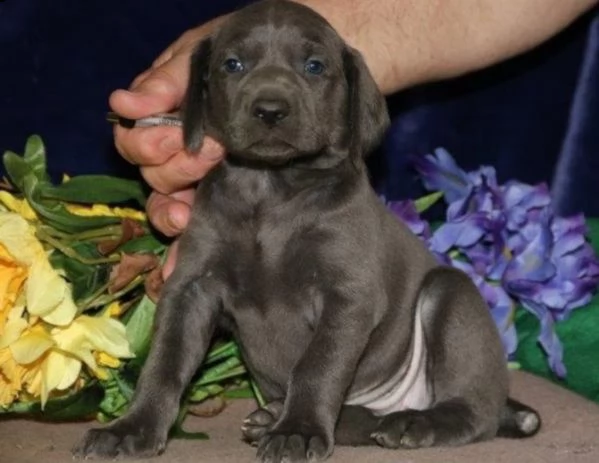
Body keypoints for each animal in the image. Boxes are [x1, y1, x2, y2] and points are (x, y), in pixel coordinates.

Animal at [72, 1, 540, 462]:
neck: (270, 190)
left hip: (451, 298)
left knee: (472, 413)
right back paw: (281, 417)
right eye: (232, 64)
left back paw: (412, 424)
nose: (270, 109)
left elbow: (318, 365)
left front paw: (296, 430)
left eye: (314, 66)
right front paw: (132, 427)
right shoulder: (190, 289)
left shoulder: (347, 296)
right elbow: (165, 361)